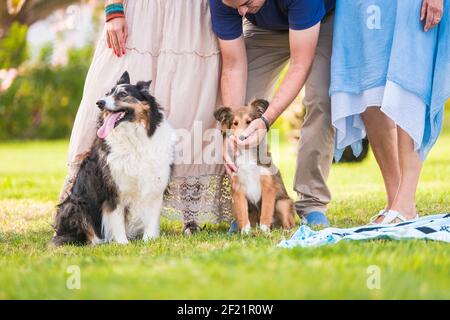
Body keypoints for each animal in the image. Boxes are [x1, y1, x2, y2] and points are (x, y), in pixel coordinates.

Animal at [52, 70, 176, 245]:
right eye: (107, 94)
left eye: (123, 94)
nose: (99, 103)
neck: (134, 139)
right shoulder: (113, 191)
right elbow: (116, 220)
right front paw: (123, 244)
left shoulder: (155, 186)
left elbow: (151, 219)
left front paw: (149, 241)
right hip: (76, 205)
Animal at [214, 99, 296, 234]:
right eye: (235, 123)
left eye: (249, 122)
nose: (242, 137)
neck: (247, 153)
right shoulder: (238, 188)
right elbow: (243, 212)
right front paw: (245, 232)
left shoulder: (268, 187)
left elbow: (266, 211)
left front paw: (264, 231)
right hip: (234, 206)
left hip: (283, 203)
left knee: (289, 224)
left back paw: (284, 231)